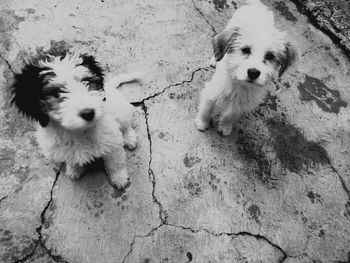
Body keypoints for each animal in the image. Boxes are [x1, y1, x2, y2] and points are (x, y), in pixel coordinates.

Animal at [11, 52, 142, 190]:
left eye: (86, 81)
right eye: (57, 92)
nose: (89, 113)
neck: (79, 131)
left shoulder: (112, 141)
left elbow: (115, 163)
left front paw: (119, 178)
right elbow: (72, 160)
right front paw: (74, 170)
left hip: (122, 111)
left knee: (126, 126)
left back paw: (129, 138)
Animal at [196, 0, 296, 136]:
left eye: (270, 56)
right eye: (245, 50)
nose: (253, 73)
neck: (240, 85)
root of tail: (258, 5)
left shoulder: (242, 104)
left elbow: (230, 115)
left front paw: (225, 127)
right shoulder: (212, 92)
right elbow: (206, 109)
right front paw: (202, 123)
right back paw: (214, 60)